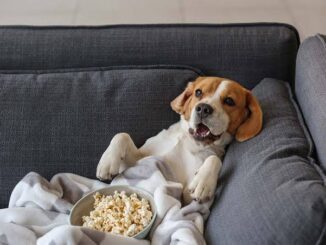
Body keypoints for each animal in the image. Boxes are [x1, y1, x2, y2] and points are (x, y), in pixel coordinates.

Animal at [96, 76, 262, 203]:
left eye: (229, 101)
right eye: (198, 92)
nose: (203, 108)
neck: (189, 141)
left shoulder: (186, 197)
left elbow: (214, 159)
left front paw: (203, 182)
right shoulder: (136, 161)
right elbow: (122, 135)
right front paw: (107, 161)